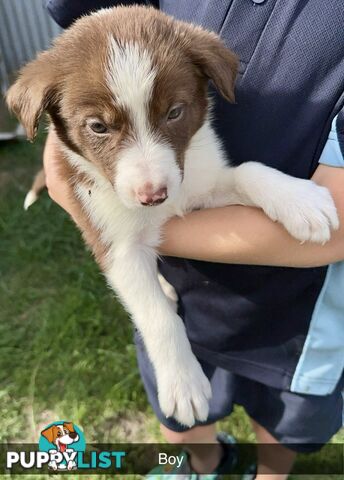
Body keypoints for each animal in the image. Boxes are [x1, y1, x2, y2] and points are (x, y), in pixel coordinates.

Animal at [6, 6, 340, 428]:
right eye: (98, 126)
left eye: (175, 113)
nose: (153, 196)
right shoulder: (114, 241)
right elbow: (158, 318)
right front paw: (183, 384)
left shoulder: (200, 185)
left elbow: (248, 170)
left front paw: (301, 200)